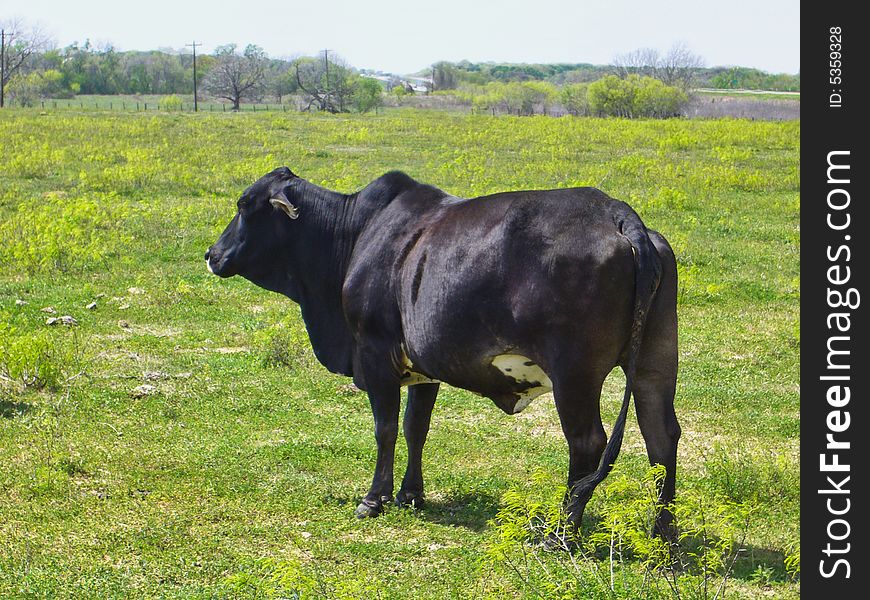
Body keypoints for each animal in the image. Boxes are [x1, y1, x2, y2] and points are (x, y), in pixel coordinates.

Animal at [208, 166, 684, 536]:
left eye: (244, 205)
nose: (212, 254)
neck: (356, 234)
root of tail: (619, 214)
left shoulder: (375, 354)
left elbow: (385, 429)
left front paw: (373, 499)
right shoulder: (424, 368)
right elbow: (414, 428)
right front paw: (411, 494)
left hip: (574, 376)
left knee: (588, 443)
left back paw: (561, 534)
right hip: (655, 364)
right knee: (661, 436)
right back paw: (661, 537)